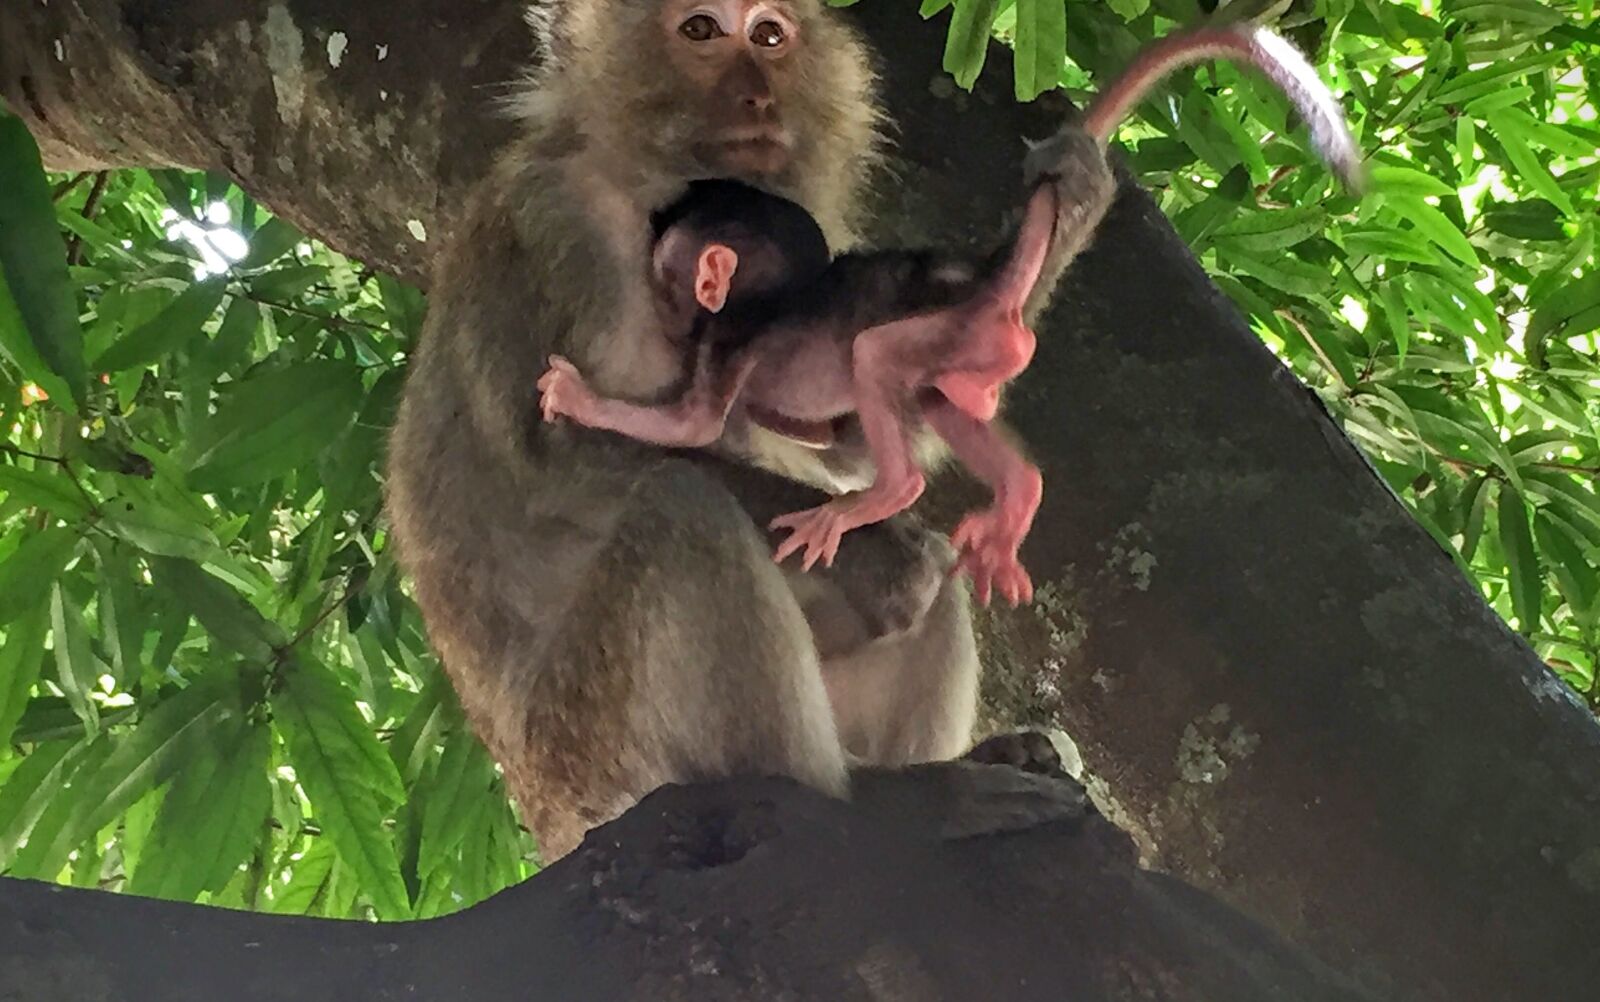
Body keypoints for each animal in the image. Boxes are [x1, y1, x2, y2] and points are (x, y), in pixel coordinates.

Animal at [536, 21, 1363, 608]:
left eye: (667, 275)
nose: (664, 300)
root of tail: (985, 283)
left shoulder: (726, 344)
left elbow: (693, 424)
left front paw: (577, 397)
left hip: (959, 332)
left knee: (877, 363)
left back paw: (883, 497)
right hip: (975, 352)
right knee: (939, 401)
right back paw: (1012, 502)